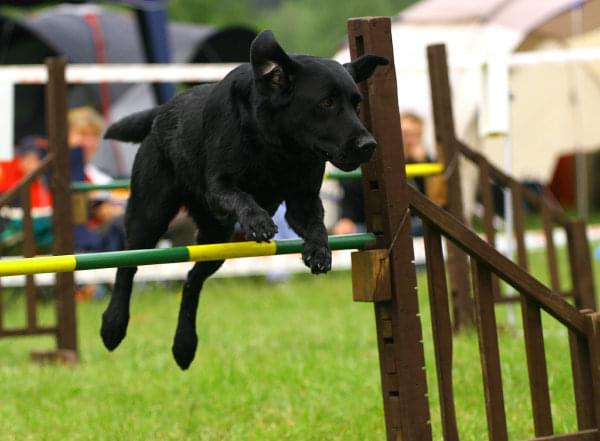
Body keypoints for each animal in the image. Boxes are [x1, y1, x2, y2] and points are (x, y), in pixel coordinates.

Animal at [100, 30, 386, 368]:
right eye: (326, 102)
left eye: (357, 105)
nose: (369, 145)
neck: (278, 147)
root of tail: (160, 113)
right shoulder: (218, 187)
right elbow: (241, 196)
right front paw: (258, 221)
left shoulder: (302, 201)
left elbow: (317, 225)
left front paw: (319, 251)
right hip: (149, 216)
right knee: (127, 266)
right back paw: (113, 325)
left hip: (216, 240)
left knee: (192, 280)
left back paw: (184, 345)